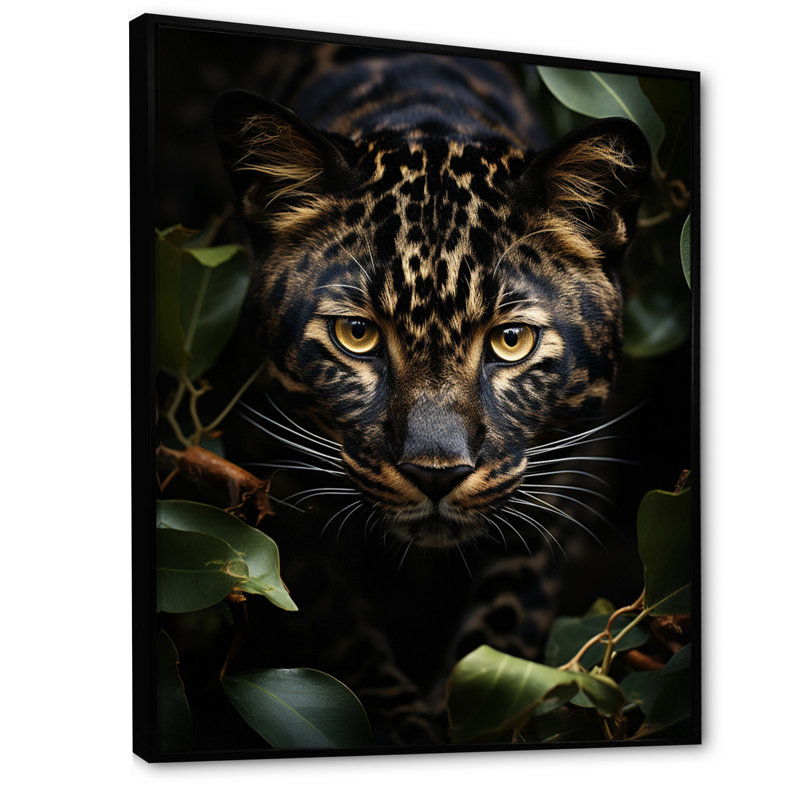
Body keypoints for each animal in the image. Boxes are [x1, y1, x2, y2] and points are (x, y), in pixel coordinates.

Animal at [212, 43, 651, 747]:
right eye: (356, 334)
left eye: (511, 340)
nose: (435, 473)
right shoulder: (278, 505)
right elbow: (343, 639)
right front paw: (403, 730)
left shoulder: (561, 482)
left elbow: (501, 633)